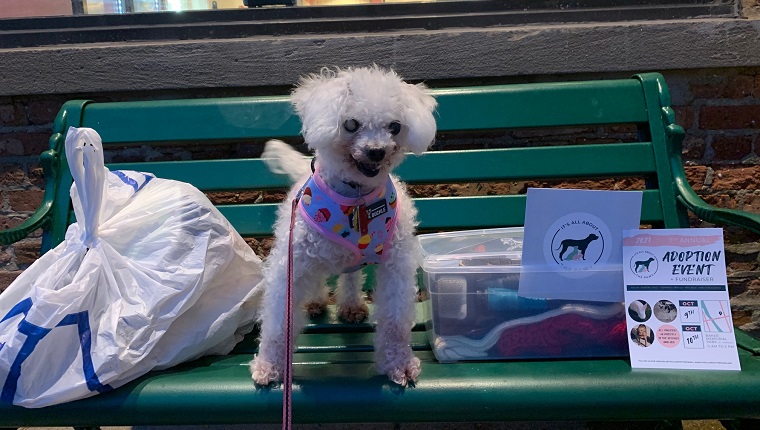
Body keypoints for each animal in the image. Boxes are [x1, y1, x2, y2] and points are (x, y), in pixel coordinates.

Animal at [251, 66, 434, 386]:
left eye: (394, 126)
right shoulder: (292, 264)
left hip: (354, 259)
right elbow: (278, 322)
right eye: (351, 124)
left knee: (351, 276)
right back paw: (315, 301)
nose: (376, 151)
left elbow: (395, 320)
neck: (356, 198)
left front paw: (399, 363)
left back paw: (351, 305)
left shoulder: (396, 265)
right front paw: (269, 365)